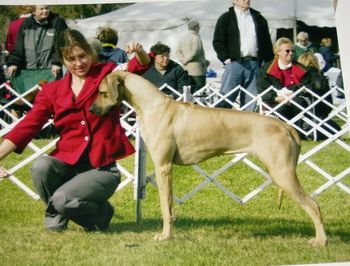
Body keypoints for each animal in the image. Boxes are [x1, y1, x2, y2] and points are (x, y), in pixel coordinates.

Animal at [90, 69, 328, 246]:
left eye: (102, 92)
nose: (91, 109)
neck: (153, 106)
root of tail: (287, 126)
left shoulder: (163, 167)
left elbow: (165, 207)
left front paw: (165, 236)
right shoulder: (167, 169)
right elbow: (170, 207)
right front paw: (170, 232)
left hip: (282, 173)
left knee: (314, 206)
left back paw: (320, 241)